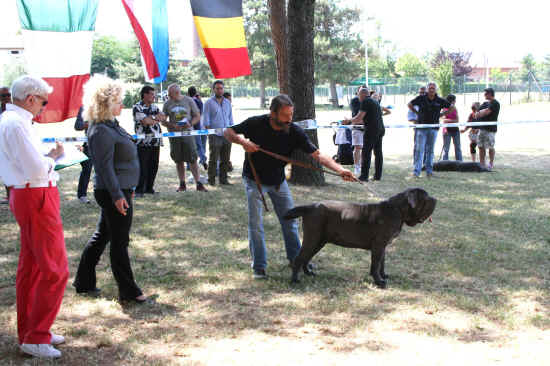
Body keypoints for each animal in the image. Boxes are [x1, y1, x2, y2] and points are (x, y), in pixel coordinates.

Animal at [286, 189, 438, 288]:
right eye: (427, 198)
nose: (436, 199)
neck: (398, 210)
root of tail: (311, 206)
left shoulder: (383, 246)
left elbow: (382, 263)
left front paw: (383, 276)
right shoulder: (378, 245)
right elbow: (376, 264)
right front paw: (379, 282)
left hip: (319, 241)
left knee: (306, 257)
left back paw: (308, 273)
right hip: (313, 238)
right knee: (299, 258)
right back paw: (295, 281)